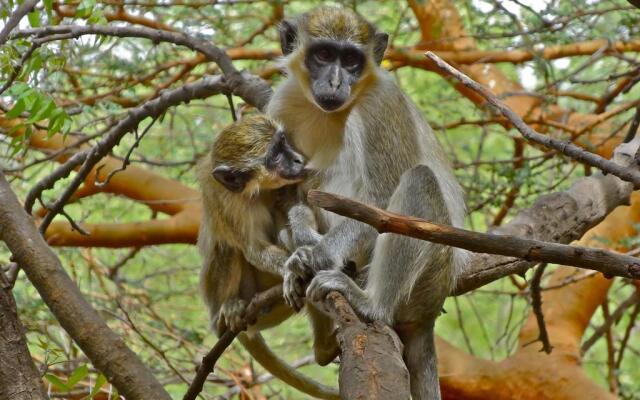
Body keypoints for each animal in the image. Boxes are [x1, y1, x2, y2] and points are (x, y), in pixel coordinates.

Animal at [268, 6, 468, 400]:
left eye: (351, 61)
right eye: (324, 55)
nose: (335, 83)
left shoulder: (381, 102)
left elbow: (381, 198)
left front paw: (315, 255)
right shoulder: (282, 103)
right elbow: (289, 190)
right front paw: (299, 236)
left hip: (429, 279)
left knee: (418, 182)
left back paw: (372, 304)